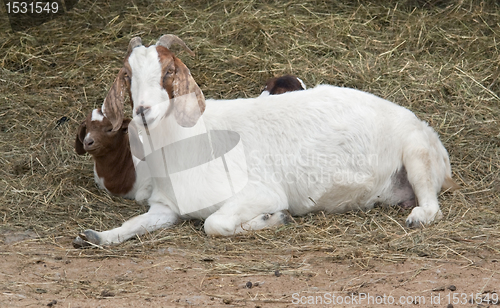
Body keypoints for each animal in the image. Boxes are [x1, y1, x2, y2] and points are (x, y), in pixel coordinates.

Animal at [72, 35, 458, 248]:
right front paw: (95, 236)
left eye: (168, 72)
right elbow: (134, 225)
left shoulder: (260, 192)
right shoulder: (166, 208)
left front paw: (274, 219)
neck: (188, 142)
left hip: (416, 153)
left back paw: (418, 217)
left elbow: (215, 224)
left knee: (432, 206)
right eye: (127, 75)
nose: (143, 111)